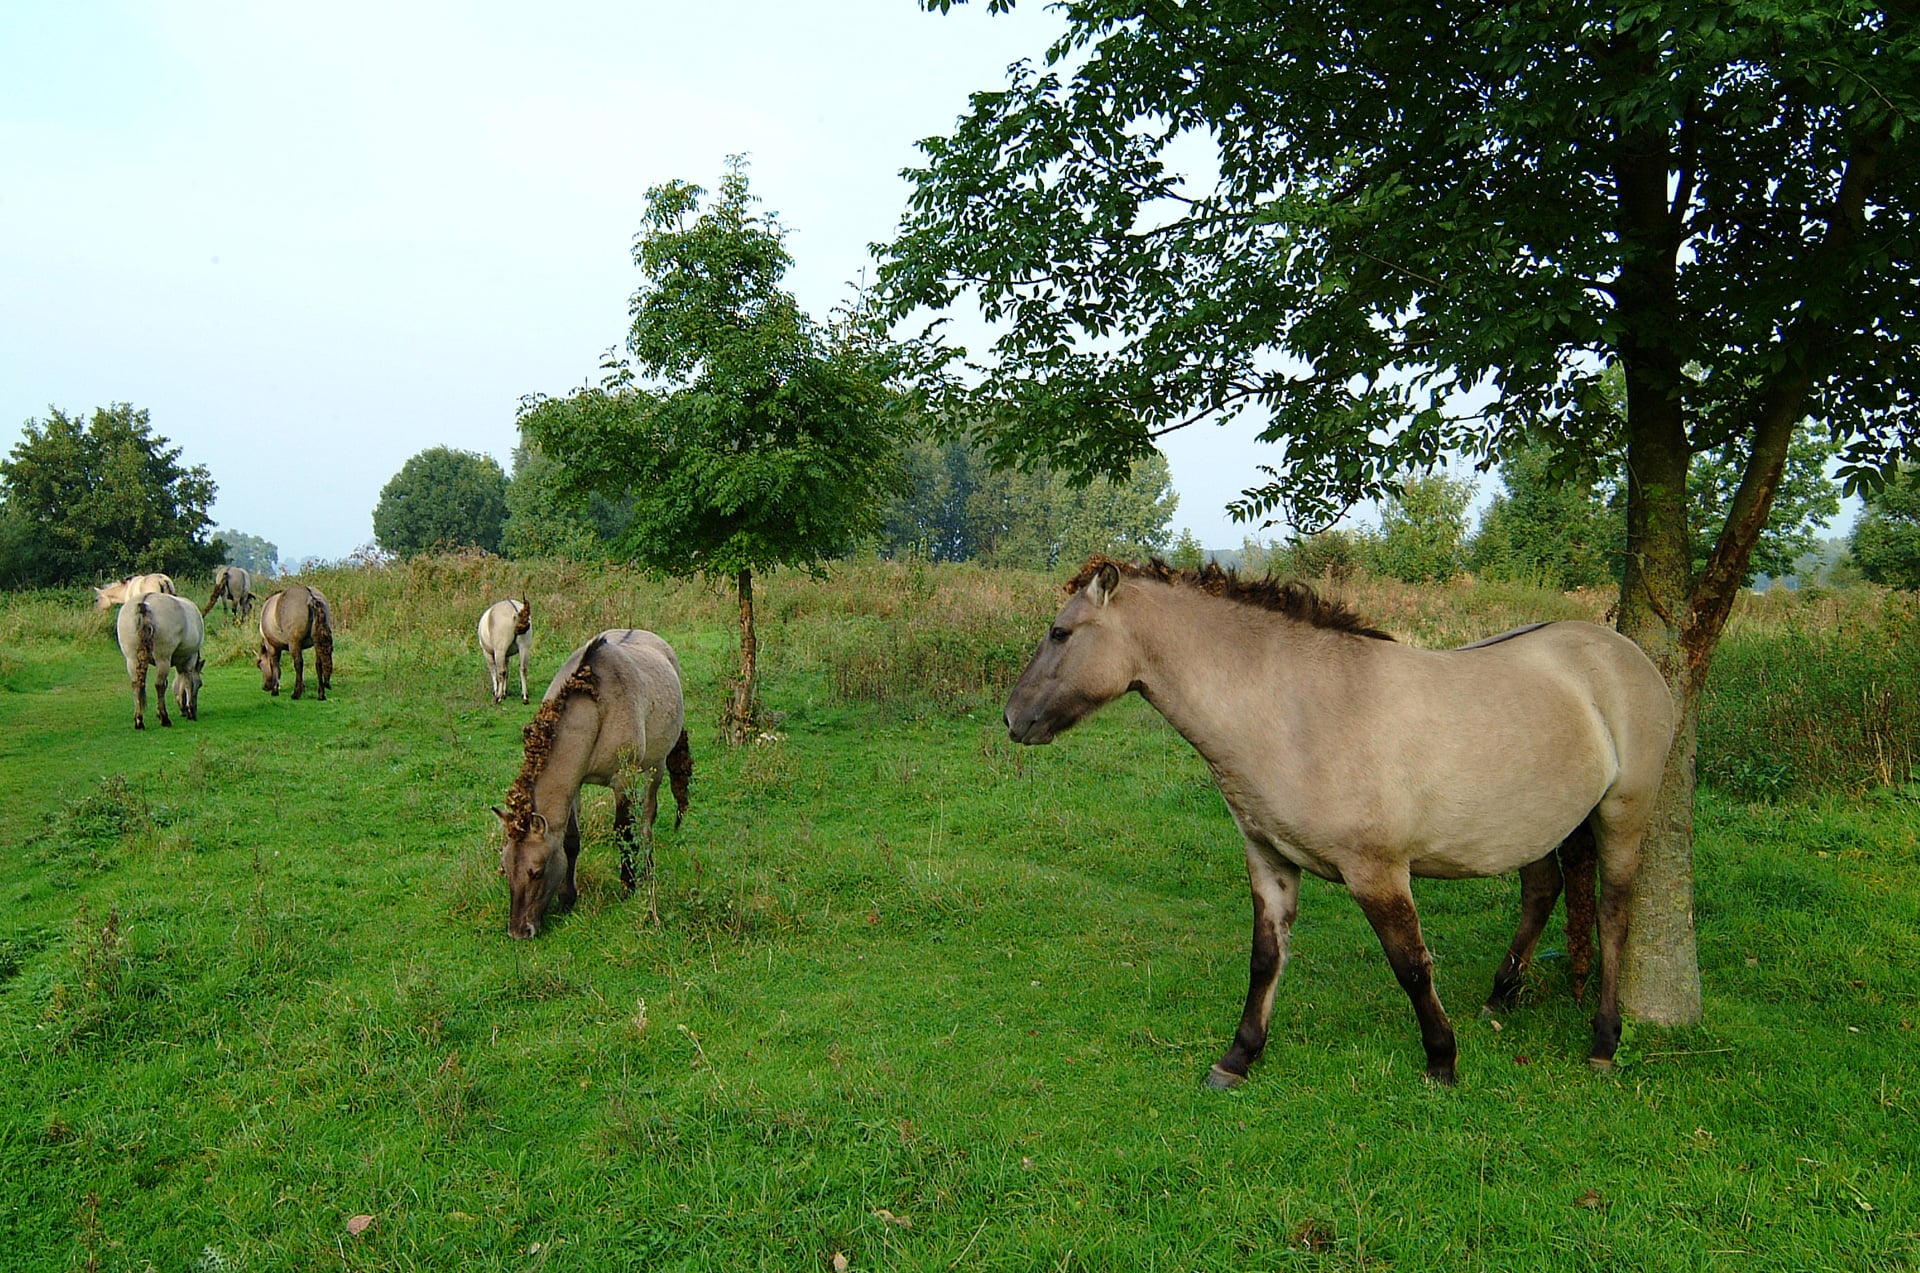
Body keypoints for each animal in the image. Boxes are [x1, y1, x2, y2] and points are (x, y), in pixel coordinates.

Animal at [113, 591, 203, 725]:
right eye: (200, 684)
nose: (195, 708)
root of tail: (145, 603)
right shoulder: (189, 659)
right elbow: (187, 682)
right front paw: (191, 710)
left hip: (132, 660)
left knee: (136, 685)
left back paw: (139, 720)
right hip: (163, 659)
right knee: (159, 685)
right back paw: (165, 718)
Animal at [491, 625, 695, 936]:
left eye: (536, 871)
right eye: (505, 869)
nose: (519, 931)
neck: (597, 709)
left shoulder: (623, 781)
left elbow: (624, 832)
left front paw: (627, 885)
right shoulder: (574, 785)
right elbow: (571, 840)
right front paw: (567, 898)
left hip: (655, 767)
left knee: (647, 817)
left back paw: (647, 868)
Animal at [998, 556, 1674, 1082]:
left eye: (1060, 633)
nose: (1011, 718)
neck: (1297, 709)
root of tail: (1623, 654)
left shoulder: (1377, 872)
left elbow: (1411, 964)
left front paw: (1442, 1060)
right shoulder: (1269, 861)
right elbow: (1266, 957)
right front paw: (1238, 1058)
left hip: (1622, 815)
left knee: (1613, 916)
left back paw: (1604, 1041)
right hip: (1529, 827)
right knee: (1543, 891)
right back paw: (1500, 998)